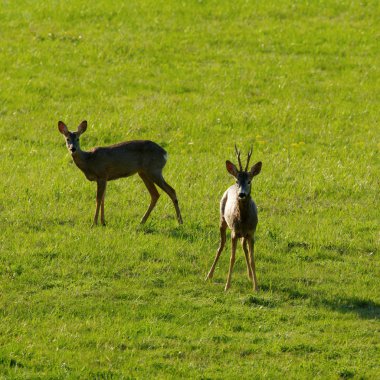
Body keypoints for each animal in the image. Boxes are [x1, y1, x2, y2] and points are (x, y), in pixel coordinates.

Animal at [206, 145, 262, 290]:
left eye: (249, 181)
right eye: (237, 180)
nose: (241, 194)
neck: (243, 221)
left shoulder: (251, 233)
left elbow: (252, 259)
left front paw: (256, 286)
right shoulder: (234, 232)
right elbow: (232, 258)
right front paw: (227, 286)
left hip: (244, 235)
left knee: (243, 246)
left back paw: (249, 275)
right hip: (222, 220)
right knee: (220, 246)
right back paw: (209, 275)